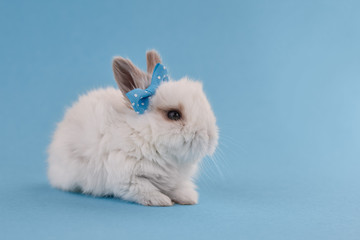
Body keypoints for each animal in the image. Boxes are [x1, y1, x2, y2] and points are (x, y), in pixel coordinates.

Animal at [46, 50, 218, 206]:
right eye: (174, 114)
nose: (210, 136)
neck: (143, 134)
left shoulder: (173, 179)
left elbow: (176, 188)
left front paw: (189, 198)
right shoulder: (127, 177)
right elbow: (144, 189)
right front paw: (162, 201)